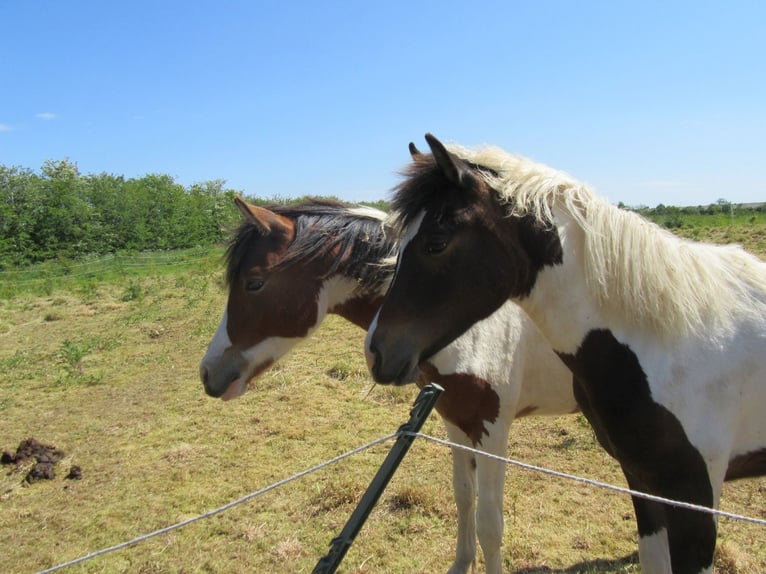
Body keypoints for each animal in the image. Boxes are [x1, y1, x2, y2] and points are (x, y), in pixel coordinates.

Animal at [200, 199, 576, 574]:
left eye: (254, 283)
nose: (208, 373)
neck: (464, 328)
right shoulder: (454, 421)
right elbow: (464, 496)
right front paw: (461, 563)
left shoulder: (492, 430)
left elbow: (490, 524)